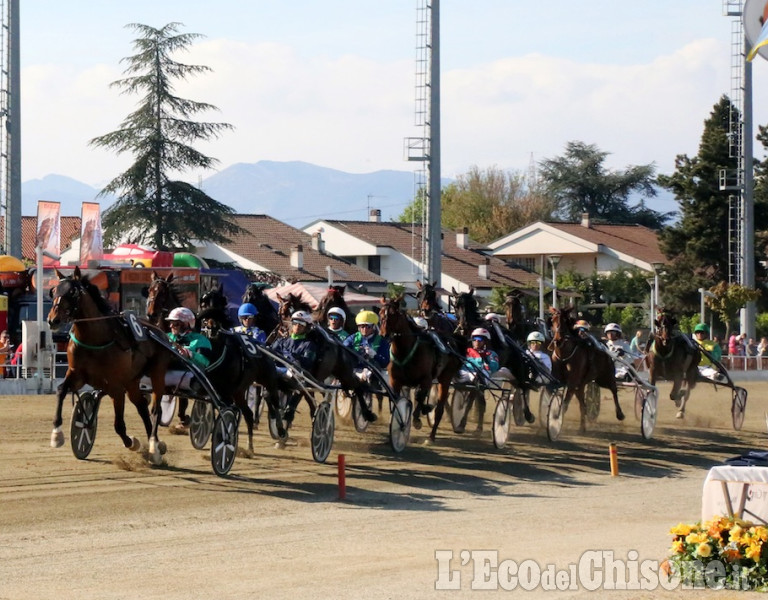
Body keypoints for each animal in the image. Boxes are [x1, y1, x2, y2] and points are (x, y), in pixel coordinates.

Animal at [48, 266, 175, 464]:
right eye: (54, 291)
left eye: (72, 292)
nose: (53, 320)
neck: (95, 338)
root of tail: (158, 331)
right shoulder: (77, 373)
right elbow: (61, 390)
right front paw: (56, 435)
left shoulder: (115, 386)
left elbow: (119, 426)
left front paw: (133, 443)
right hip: (132, 382)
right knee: (141, 406)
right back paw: (157, 444)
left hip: (157, 373)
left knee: (156, 410)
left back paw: (154, 447)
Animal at [376, 296, 464, 440]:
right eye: (380, 313)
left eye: (393, 314)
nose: (384, 334)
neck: (405, 352)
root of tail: (452, 342)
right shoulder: (395, 382)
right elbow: (398, 400)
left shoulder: (425, 379)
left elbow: (419, 395)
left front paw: (417, 420)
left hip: (445, 378)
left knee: (439, 408)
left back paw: (431, 436)